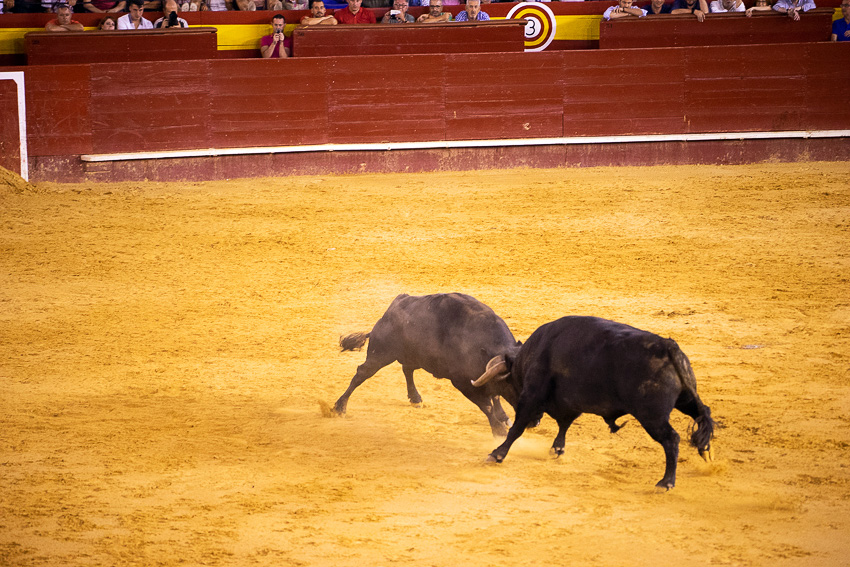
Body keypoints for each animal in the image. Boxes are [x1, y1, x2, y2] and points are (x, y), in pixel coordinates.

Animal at [332, 296, 520, 438]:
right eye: (514, 384)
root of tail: (387, 314)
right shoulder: (463, 384)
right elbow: (487, 405)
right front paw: (499, 430)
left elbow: (495, 396)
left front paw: (503, 418)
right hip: (380, 354)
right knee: (361, 373)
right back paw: (339, 407)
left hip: (412, 356)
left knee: (407, 370)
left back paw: (415, 398)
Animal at [474, 318, 712, 490]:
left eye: (510, 384)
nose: (536, 423)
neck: (533, 353)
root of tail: (668, 347)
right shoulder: (569, 404)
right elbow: (564, 424)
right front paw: (557, 448)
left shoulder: (531, 397)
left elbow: (516, 428)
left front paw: (497, 453)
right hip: (686, 400)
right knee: (704, 416)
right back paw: (706, 453)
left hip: (651, 416)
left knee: (672, 439)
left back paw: (666, 482)